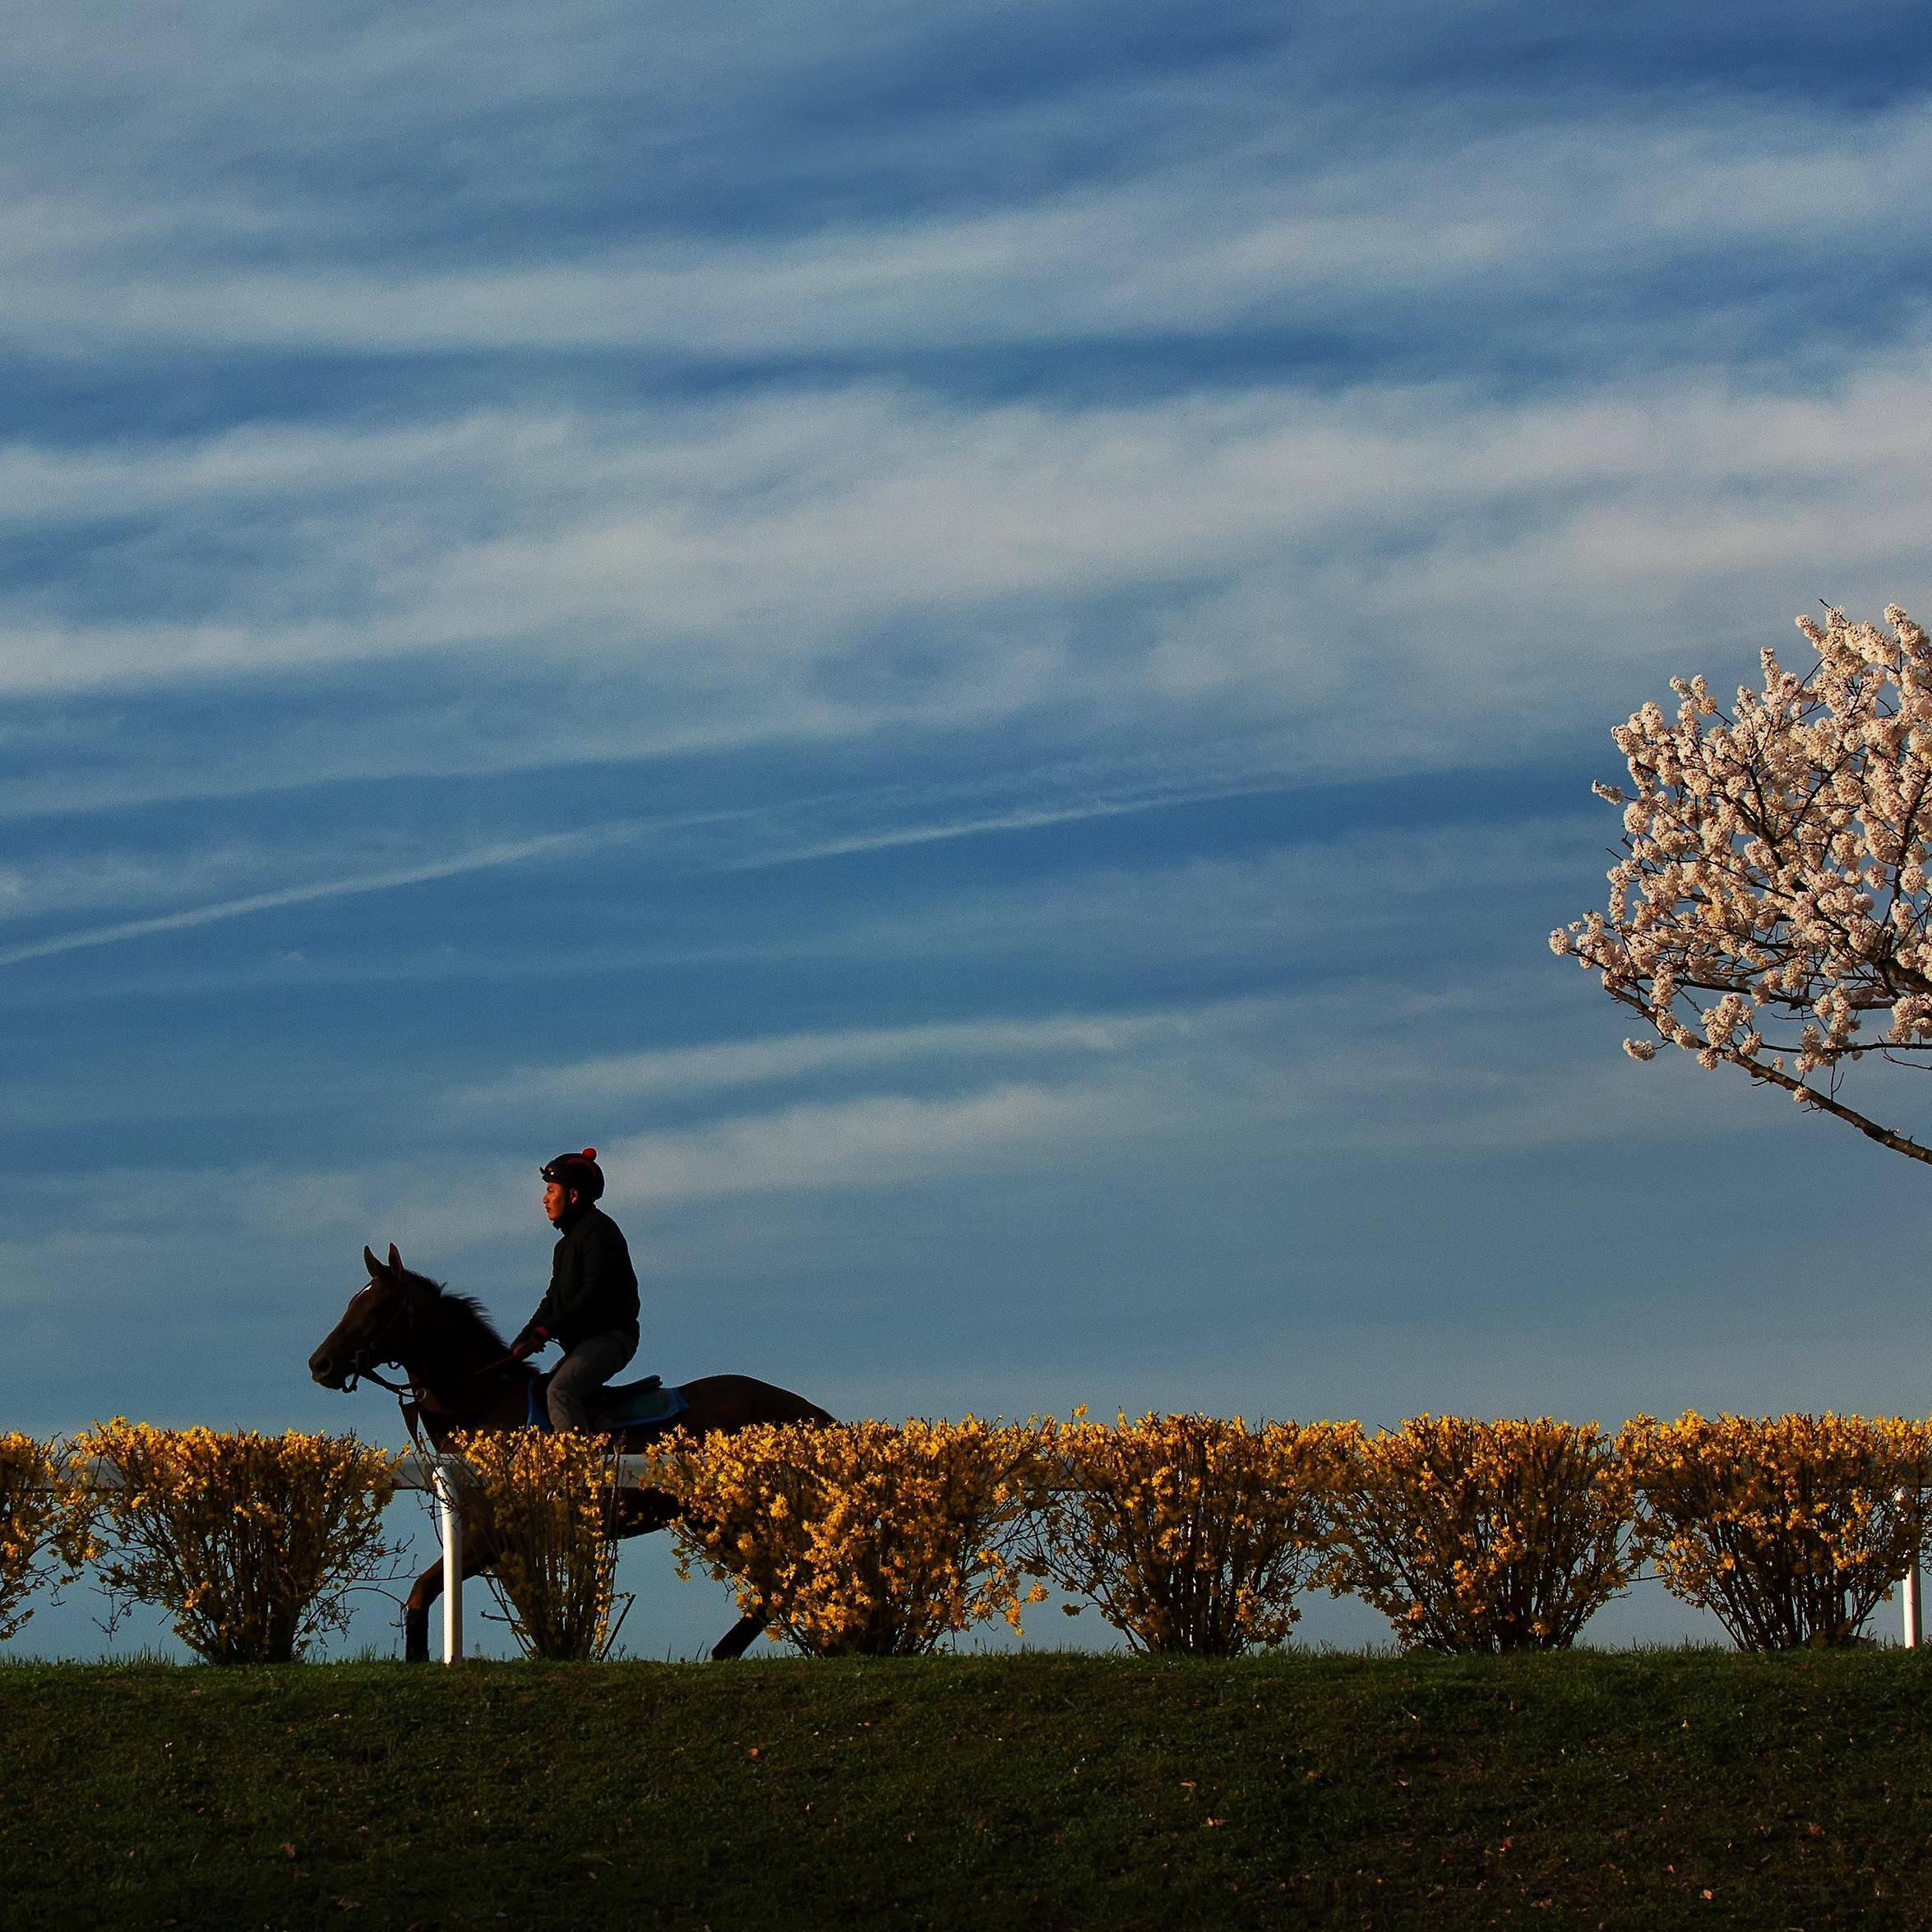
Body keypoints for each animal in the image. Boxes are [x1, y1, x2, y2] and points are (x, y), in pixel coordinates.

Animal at [307, 1251, 830, 1661]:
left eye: (376, 1306)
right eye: (353, 1302)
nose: (320, 1364)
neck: (484, 1405)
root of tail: (808, 1413)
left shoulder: (489, 1535)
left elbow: (421, 1591)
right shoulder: (503, 1547)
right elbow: (524, 1610)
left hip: (734, 1516)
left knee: (784, 1581)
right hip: (712, 1521)